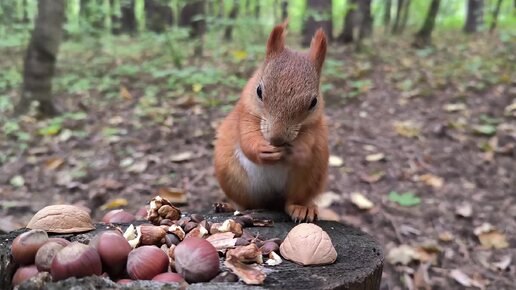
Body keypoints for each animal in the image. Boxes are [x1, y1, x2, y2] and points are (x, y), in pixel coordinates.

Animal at [213, 22, 326, 222]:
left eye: (314, 102)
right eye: (259, 91)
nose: (276, 139)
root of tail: (272, 202)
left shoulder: (314, 127)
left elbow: (308, 144)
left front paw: (297, 151)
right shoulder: (245, 116)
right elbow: (246, 140)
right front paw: (261, 149)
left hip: (309, 178)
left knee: (293, 201)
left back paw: (301, 208)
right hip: (232, 175)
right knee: (244, 204)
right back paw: (227, 206)